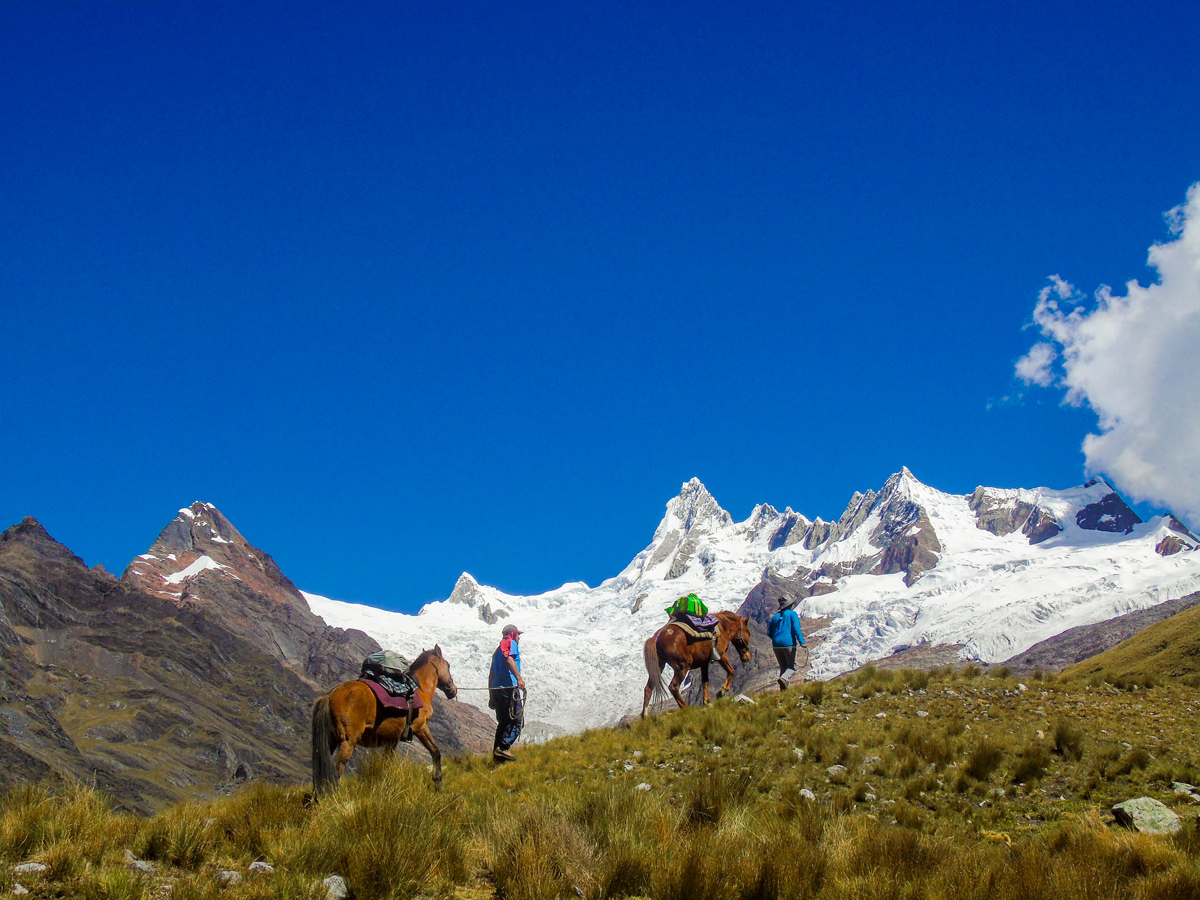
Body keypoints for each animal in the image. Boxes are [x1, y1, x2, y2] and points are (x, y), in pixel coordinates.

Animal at [309, 643, 458, 801]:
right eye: (448, 665)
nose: (453, 690)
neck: (420, 689)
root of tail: (330, 694)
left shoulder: (392, 739)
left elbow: (387, 763)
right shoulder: (420, 728)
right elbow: (435, 751)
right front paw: (438, 782)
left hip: (330, 740)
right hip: (348, 742)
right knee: (338, 769)